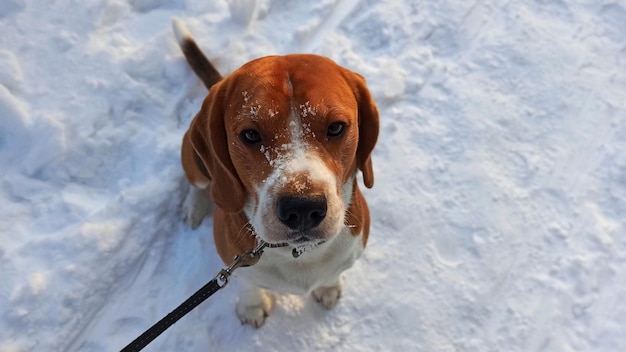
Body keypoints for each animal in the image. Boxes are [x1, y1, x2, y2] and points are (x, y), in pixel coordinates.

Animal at [173, 20, 378, 328]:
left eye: (336, 127)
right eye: (250, 135)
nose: (302, 208)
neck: (299, 253)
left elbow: (333, 273)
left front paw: (329, 287)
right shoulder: (237, 263)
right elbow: (249, 285)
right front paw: (252, 307)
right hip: (194, 160)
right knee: (198, 184)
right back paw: (194, 206)